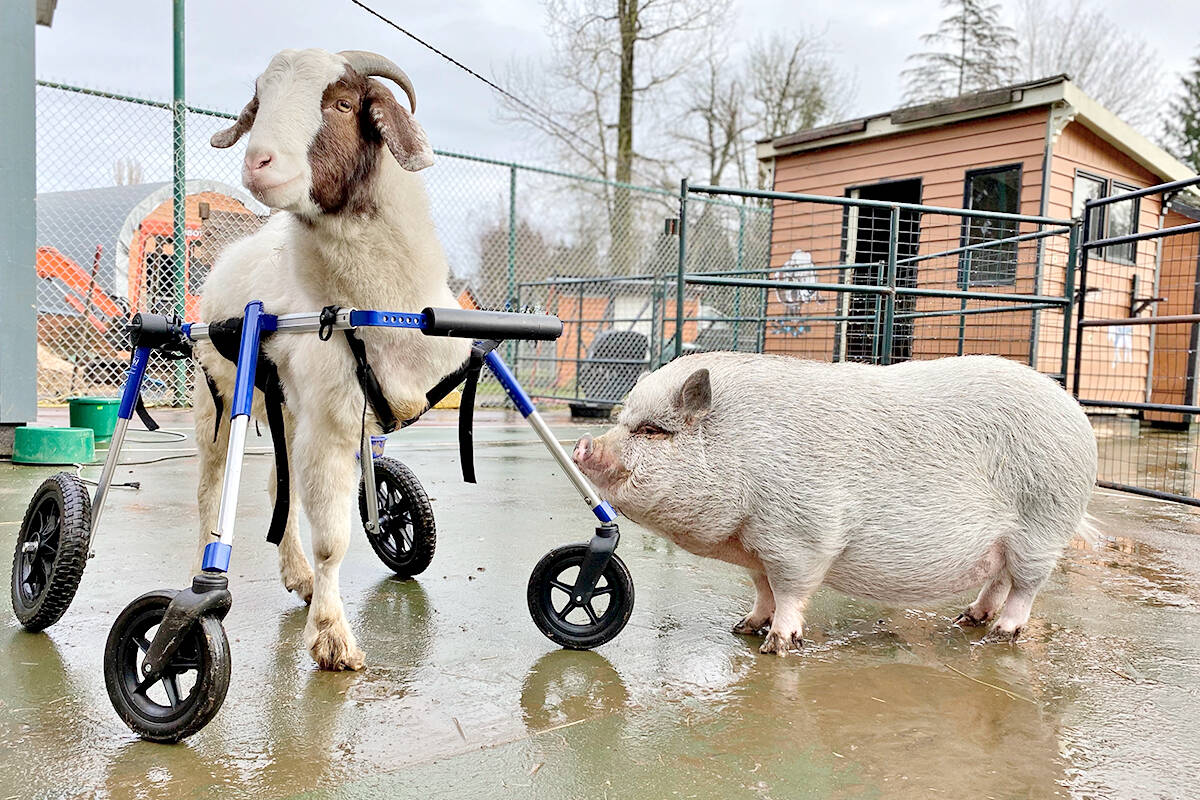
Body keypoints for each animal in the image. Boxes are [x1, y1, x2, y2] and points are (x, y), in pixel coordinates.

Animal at [194, 48, 470, 671]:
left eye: (343, 103)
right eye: (259, 105)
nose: (258, 164)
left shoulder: (351, 414)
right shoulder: (330, 420)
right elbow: (333, 539)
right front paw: (333, 638)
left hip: (288, 408)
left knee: (281, 485)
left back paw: (295, 575)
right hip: (216, 396)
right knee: (211, 486)